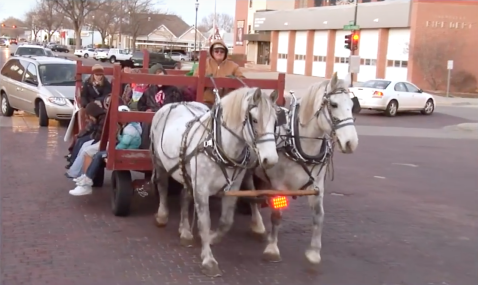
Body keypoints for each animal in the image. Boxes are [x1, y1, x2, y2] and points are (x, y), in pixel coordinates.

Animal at [148, 86, 276, 276]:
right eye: (254, 119)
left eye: (276, 121)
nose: (271, 159)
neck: (218, 146)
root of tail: (175, 103)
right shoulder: (202, 189)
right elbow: (204, 222)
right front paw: (208, 260)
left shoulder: (232, 187)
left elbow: (226, 221)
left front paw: (213, 237)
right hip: (160, 162)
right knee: (163, 187)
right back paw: (162, 216)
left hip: (186, 171)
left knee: (184, 196)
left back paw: (185, 231)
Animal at [241, 72, 356, 262]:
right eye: (334, 104)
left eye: (353, 105)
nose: (351, 143)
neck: (298, 143)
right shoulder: (279, 186)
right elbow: (277, 215)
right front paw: (272, 248)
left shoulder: (317, 186)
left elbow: (319, 216)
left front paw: (314, 252)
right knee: (251, 193)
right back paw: (257, 224)